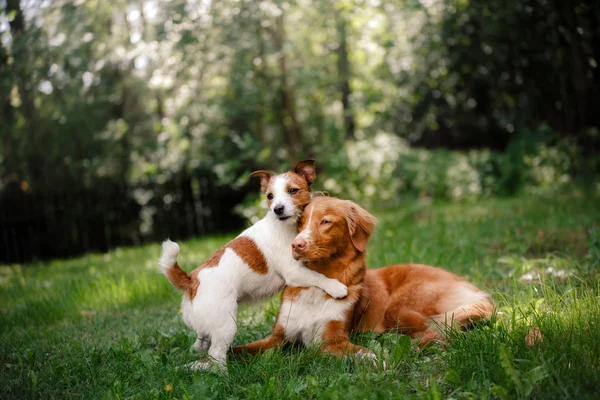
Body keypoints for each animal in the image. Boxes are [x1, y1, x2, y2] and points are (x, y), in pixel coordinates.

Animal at [159, 159, 346, 368]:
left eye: (293, 190)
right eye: (270, 196)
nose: (277, 209)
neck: (283, 226)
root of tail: (191, 281)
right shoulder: (293, 272)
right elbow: (318, 276)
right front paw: (336, 287)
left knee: (201, 341)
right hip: (226, 325)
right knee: (216, 354)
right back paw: (224, 373)